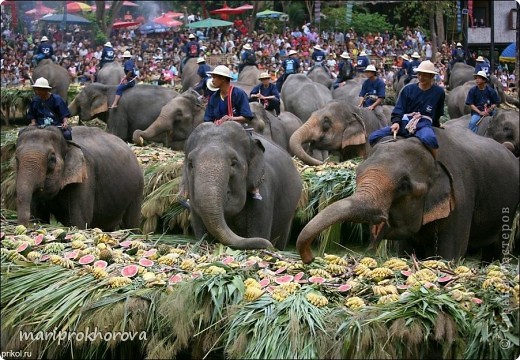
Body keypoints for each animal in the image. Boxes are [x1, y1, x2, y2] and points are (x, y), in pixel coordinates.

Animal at [15, 125, 143, 229]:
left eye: (52, 159)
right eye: (16, 158)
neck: (68, 143)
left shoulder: (86, 175)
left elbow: (79, 220)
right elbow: (39, 215)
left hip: (137, 189)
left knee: (131, 222)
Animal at [184, 121, 302, 250]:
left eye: (233, 163)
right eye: (191, 164)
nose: (270, 246)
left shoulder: (265, 192)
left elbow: (258, 232)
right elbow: (201, 233)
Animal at [294, 125, 516, 262]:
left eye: (404, 185)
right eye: (356, 174)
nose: (310, 258)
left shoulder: (462, 198)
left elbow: (449, 254)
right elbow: (406, 251)